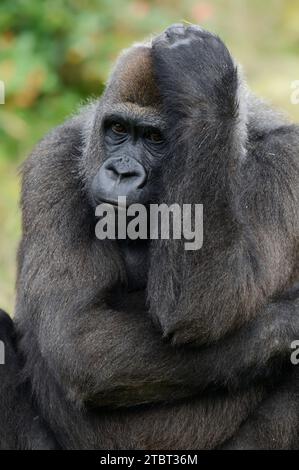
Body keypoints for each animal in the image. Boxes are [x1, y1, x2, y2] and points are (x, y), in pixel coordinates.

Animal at [0, 24, 299, 448]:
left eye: (155, 138)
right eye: (118, 129)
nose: (121, 172)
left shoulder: (285, 159)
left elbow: (206, 307)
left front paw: (204, 88)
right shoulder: (53, 161)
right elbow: (80, 334)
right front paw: (291, 322)